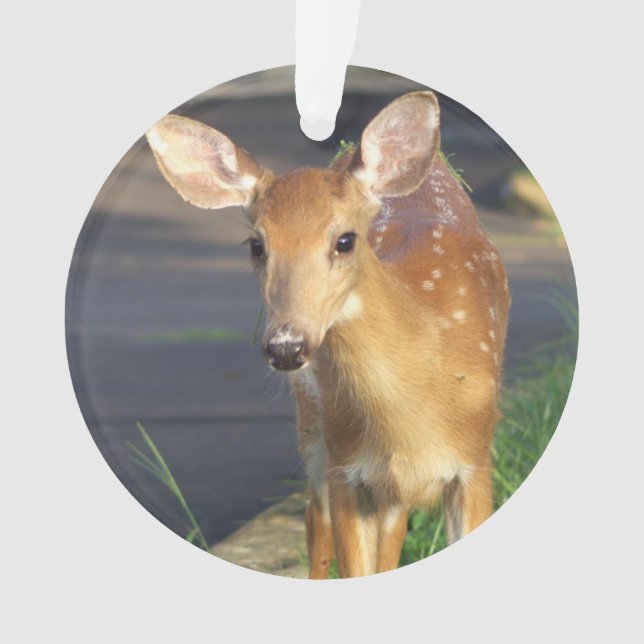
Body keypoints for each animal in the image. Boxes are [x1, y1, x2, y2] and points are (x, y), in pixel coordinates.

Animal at [146, 91, 510, 578]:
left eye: (345, 240)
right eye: (257, 245)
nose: (286, 346)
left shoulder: (475, 461)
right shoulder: (347, 468)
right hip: (315, 427)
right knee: (314, 521)